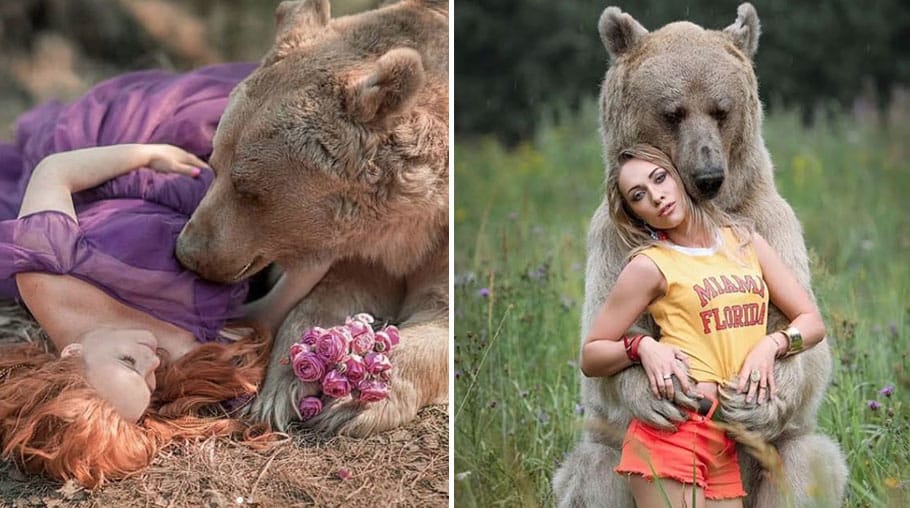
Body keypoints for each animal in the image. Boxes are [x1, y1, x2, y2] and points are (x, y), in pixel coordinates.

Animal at [175, 0, 449, 437]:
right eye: (214, 163)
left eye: (249, 190)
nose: (188, 252)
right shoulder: (363, 249)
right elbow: (332, 295)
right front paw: (286, 384)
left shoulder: (434, 236)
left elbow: (440, 315)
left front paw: (356, 400)